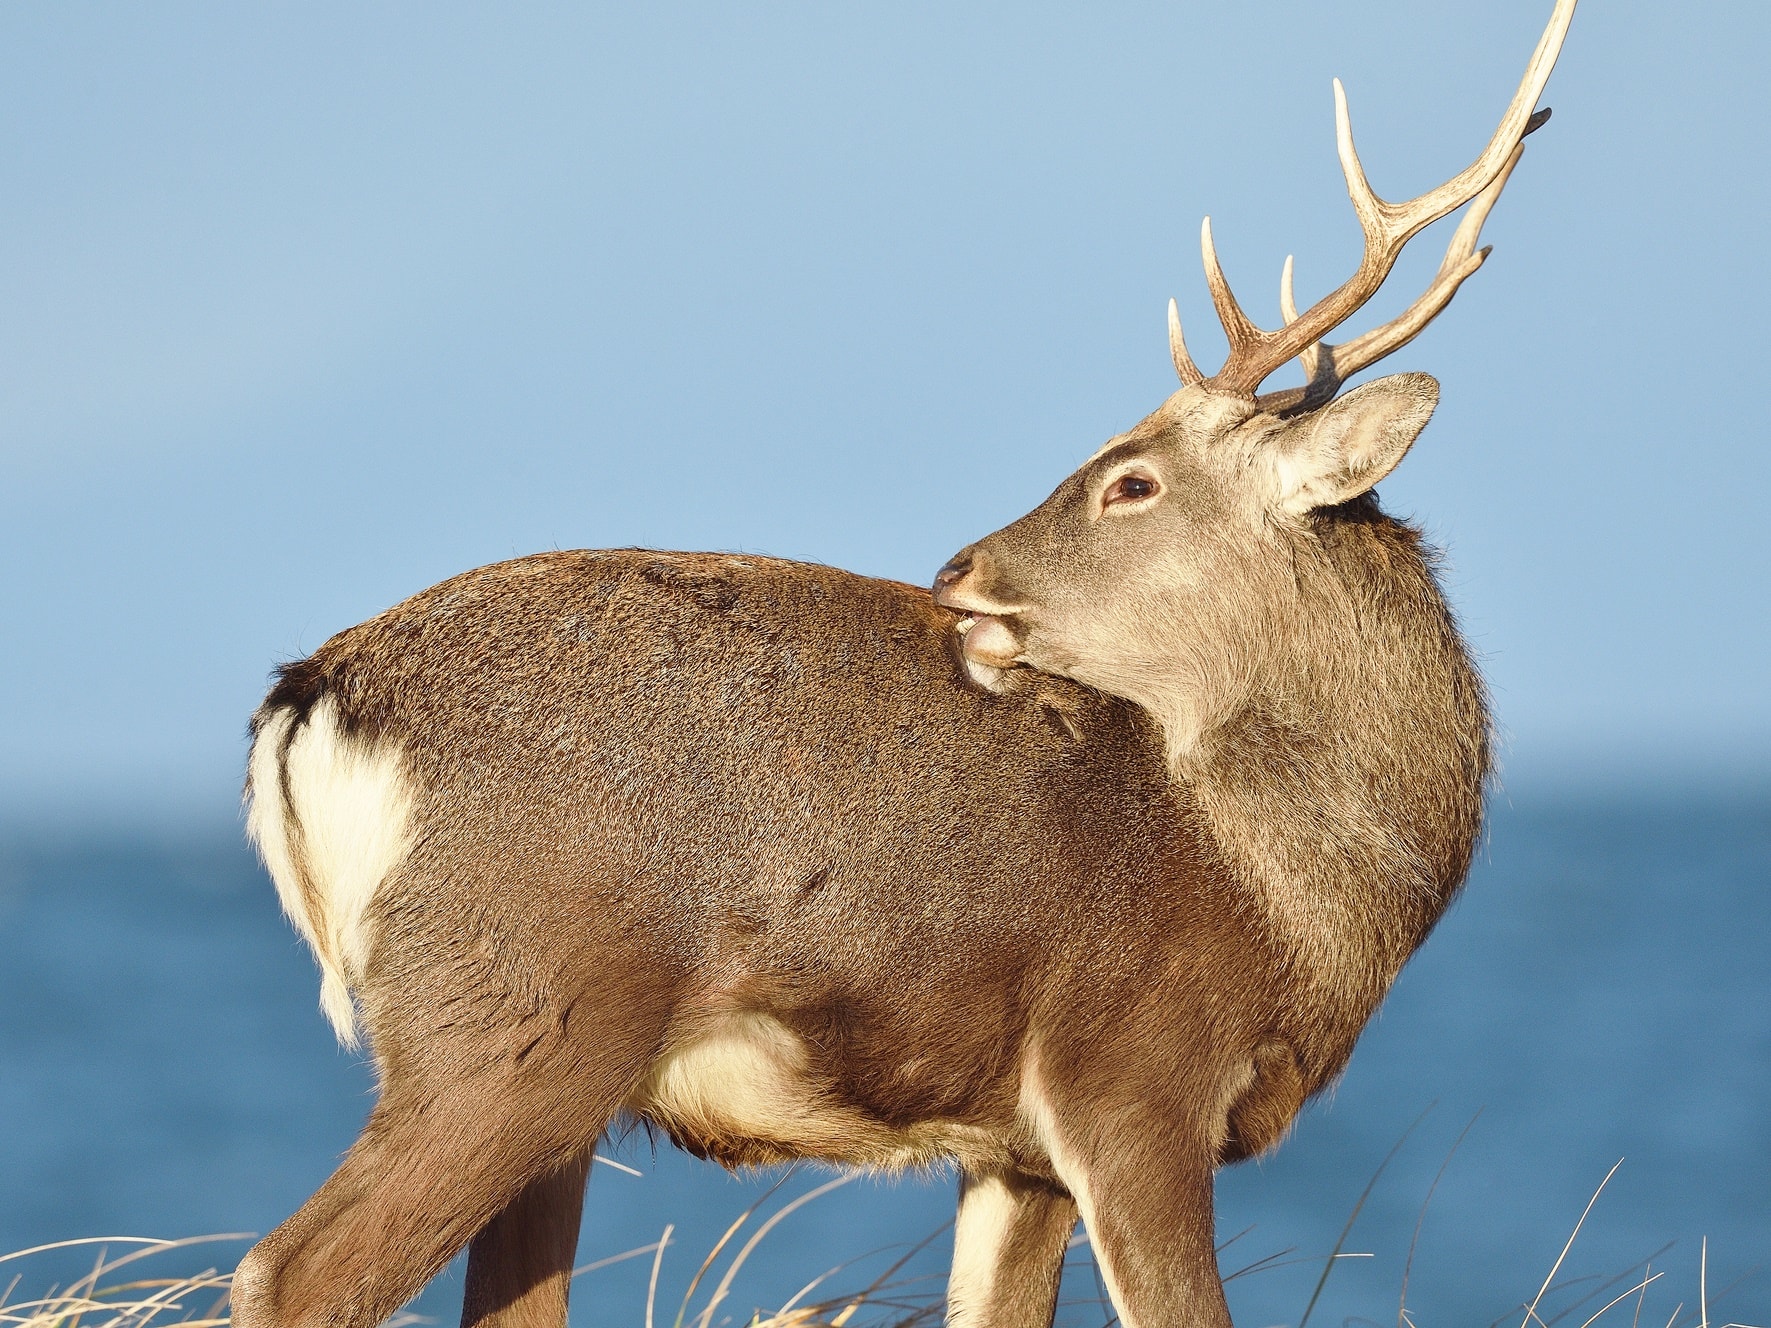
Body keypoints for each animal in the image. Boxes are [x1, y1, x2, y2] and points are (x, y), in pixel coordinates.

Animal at [228, 2, 1572, 1328]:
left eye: (1132, 481)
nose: (956, 569)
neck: (1293, 899)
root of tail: (310, 697)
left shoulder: (1016, 1150)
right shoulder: (1127, 1073)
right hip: (516, 1018)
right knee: (291, 1271)